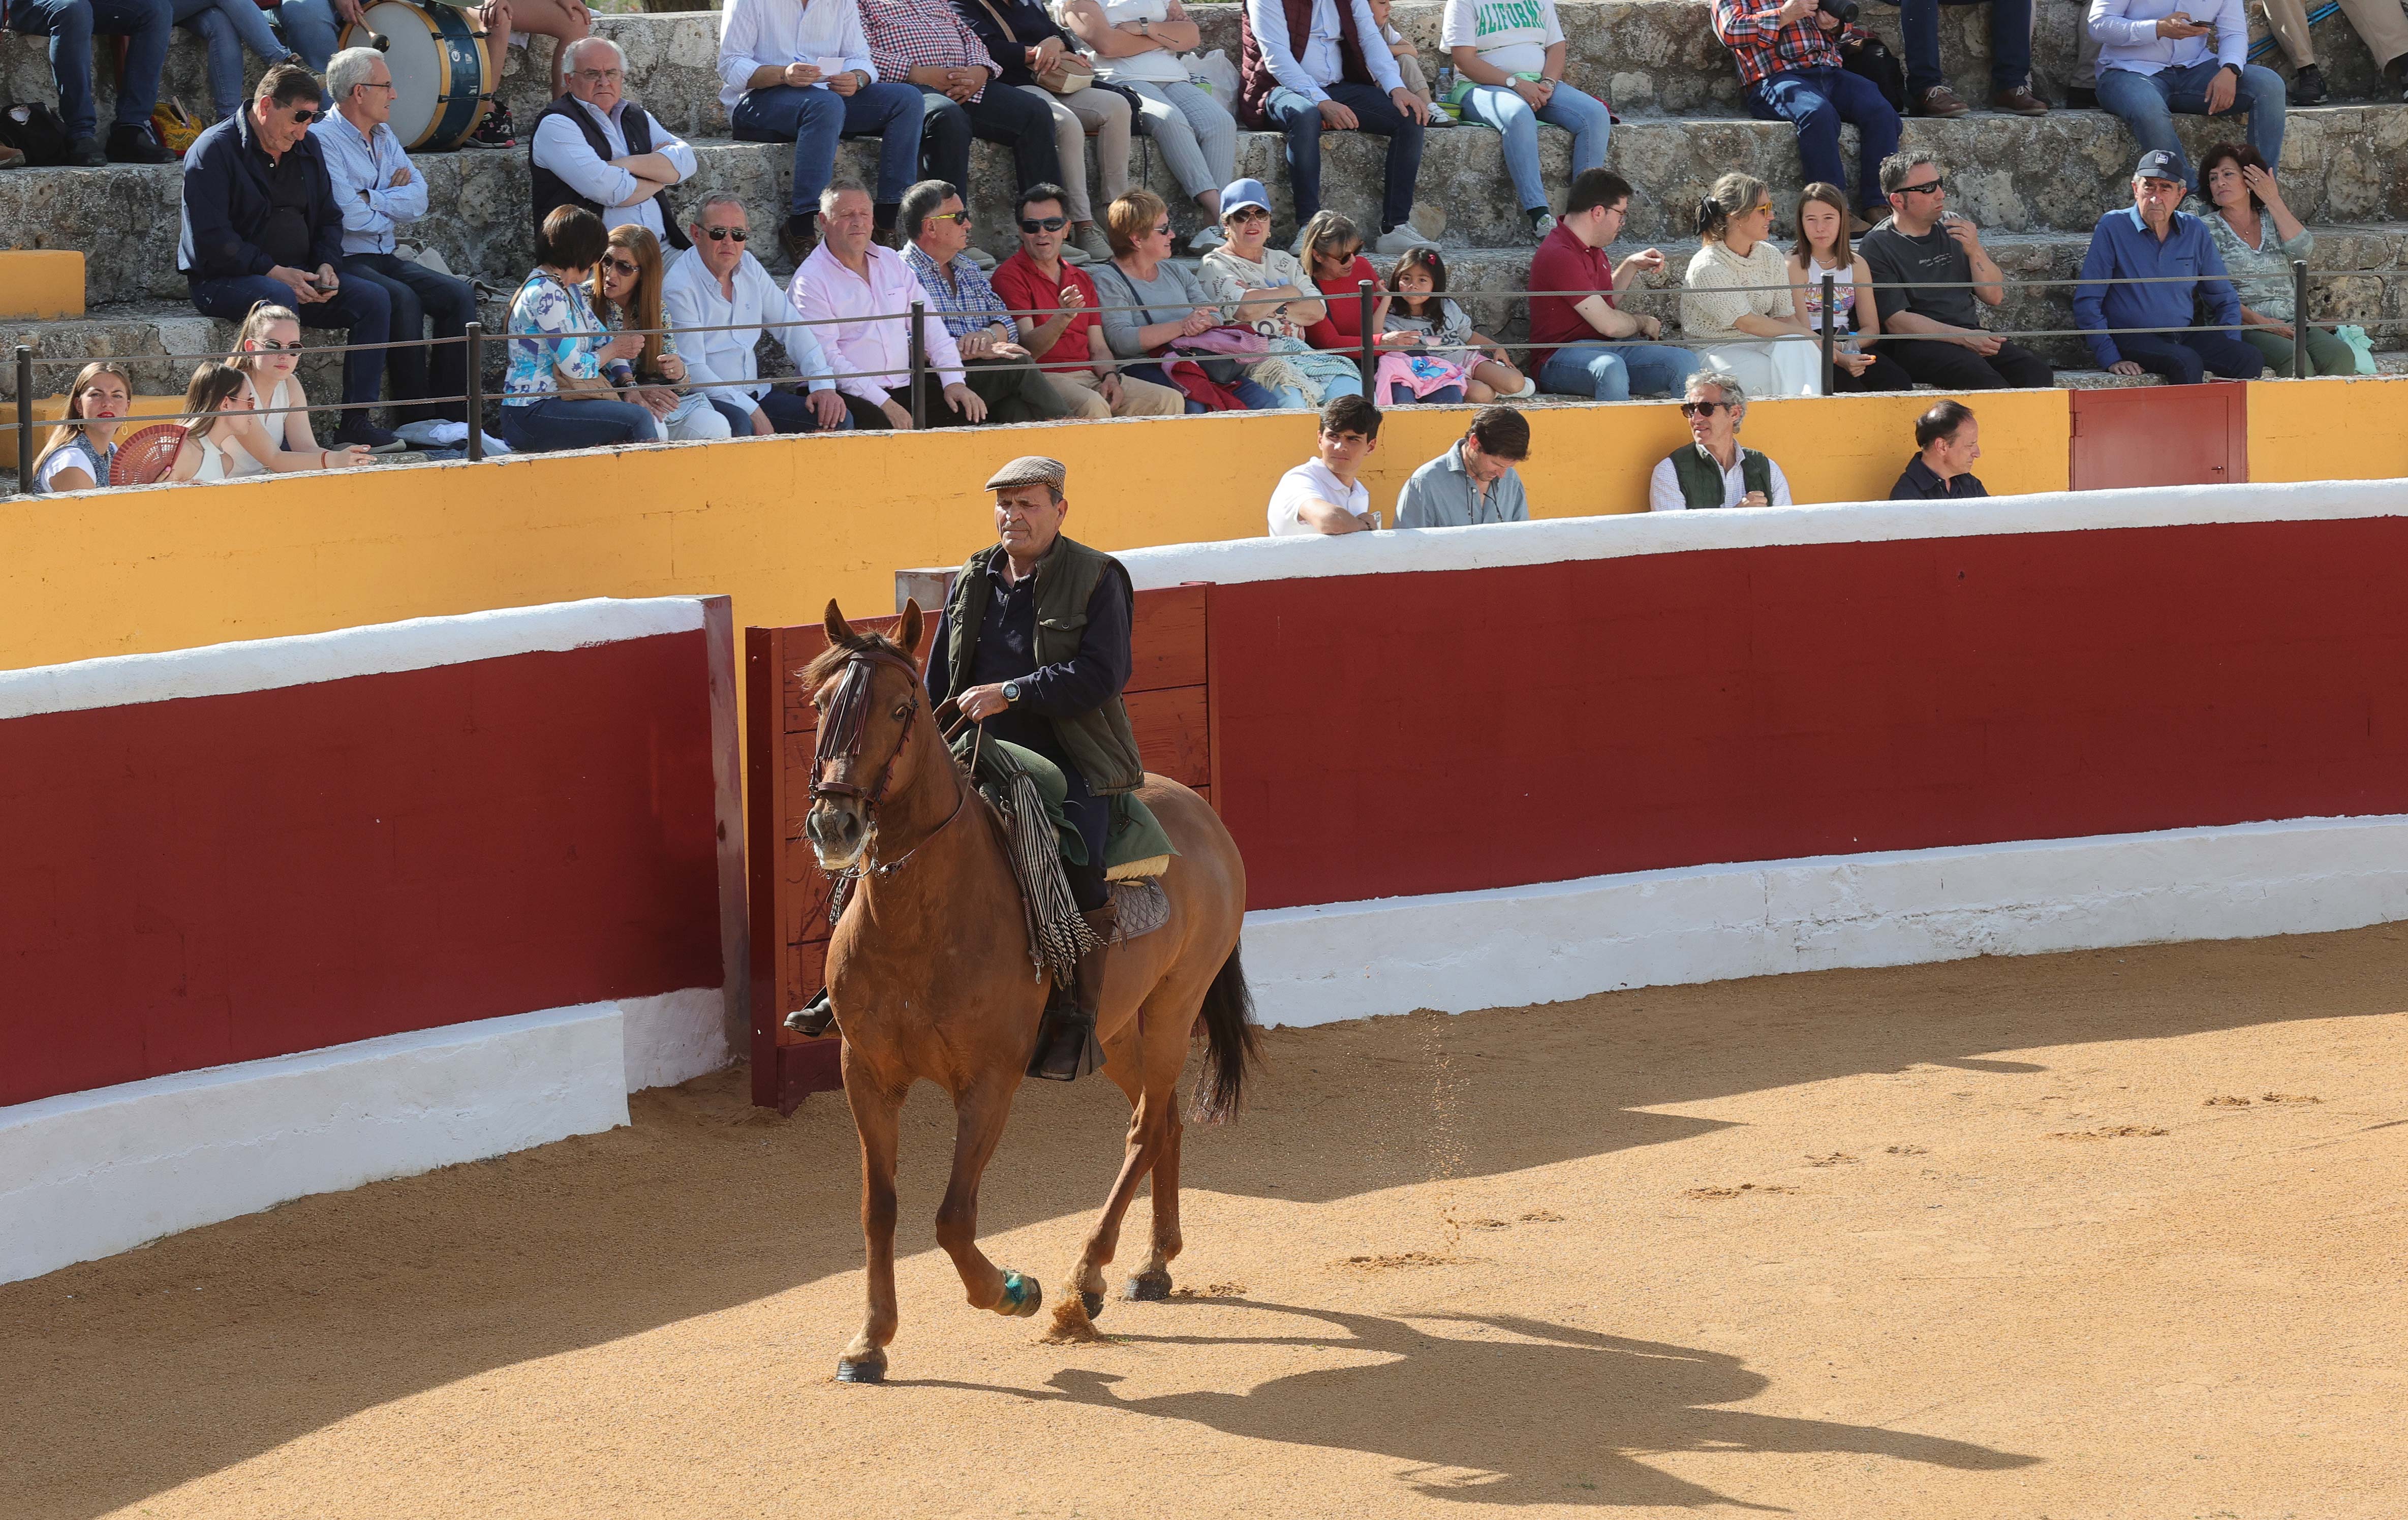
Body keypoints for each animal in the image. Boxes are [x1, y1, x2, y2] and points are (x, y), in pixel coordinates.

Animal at [809, 600, 1261, 1387]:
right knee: (1165, 1119)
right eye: (820, 705)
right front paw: (869, 1341)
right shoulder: (865, 1072)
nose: (837, 823)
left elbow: (952, 1216)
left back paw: (1088, 1276)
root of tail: (1202, 815)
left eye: (901, 707)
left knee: (1146, 1127)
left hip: (1173, 1008)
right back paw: (1153, 1265)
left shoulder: (989, 1080)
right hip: (1113, 1032)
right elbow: (880, 1207)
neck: (918, 917)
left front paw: (1013, 1290)